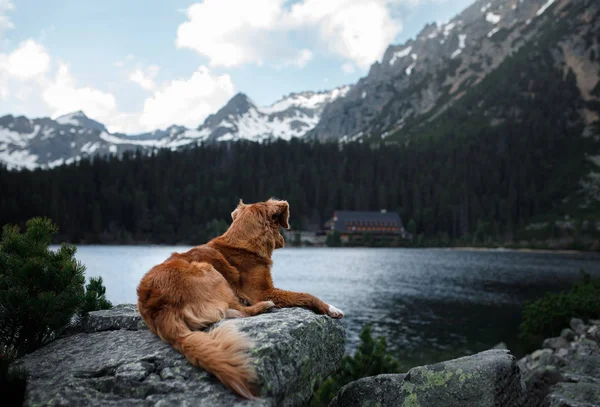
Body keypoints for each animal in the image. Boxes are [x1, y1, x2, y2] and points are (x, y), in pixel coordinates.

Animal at [136, 199, 342, 400]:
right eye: (279, 225)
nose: (284, 239)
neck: (244, 241)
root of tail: (158, 307)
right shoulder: (264, 292)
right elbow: (306, 295)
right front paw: (331, 308)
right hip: (209, 271)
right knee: (239, 312)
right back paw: (264, 307)